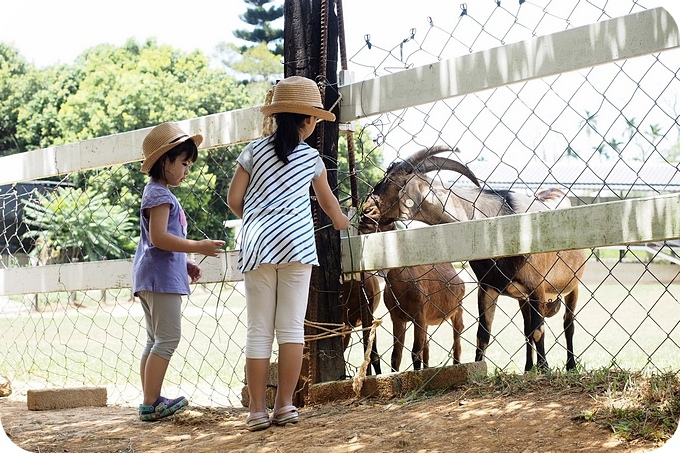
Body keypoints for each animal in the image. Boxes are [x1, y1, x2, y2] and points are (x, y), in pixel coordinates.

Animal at [358, 147, 588, 372]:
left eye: (391, 181)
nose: (365, 213)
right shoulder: (487, 287)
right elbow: (483, 335)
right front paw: (480, 366)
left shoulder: (537, 287)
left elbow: (539, 330)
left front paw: (545, 369)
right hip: (522, 298)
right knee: (526, 329)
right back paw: (528, 368)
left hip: (572, 285)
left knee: (568, 323)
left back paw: (570, 366)